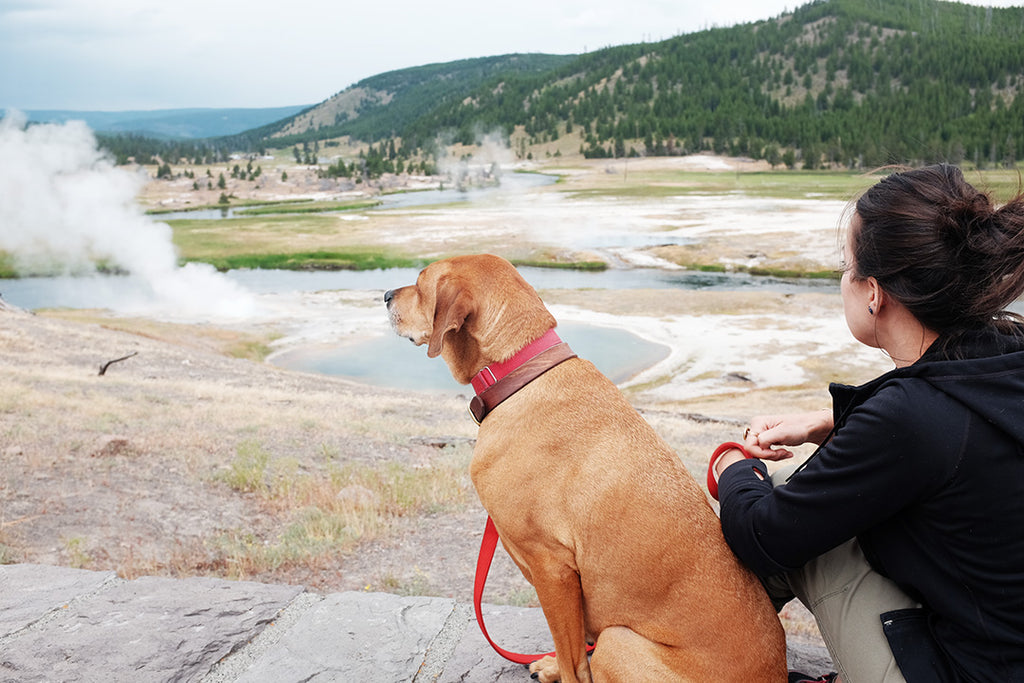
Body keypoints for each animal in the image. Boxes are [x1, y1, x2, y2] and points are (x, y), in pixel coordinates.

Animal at [387, 255, 786, 683]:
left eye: (420, 283)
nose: (386, 295)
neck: (521, 373)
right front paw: (552, 665)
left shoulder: (553, 568)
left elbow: (574, 660)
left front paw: (561, 668)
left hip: (617, 640)